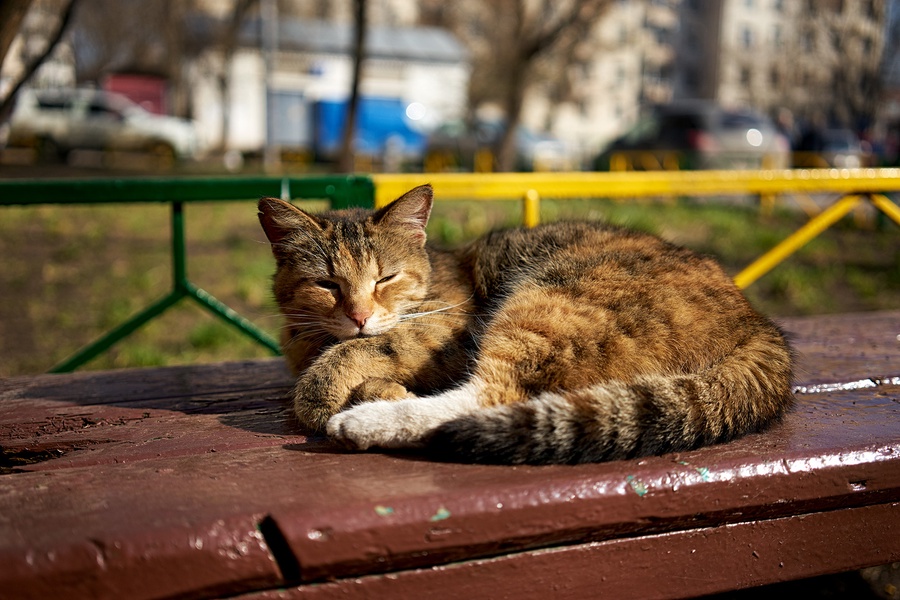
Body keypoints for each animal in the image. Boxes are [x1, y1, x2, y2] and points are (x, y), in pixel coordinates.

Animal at [256, 183, 792, 464]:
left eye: (385, 278)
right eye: (326, 284)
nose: (360, 315)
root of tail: (757, 323)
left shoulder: (445, 328)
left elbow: (363, 351)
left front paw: (325, 393)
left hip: (549, 302)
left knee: (490, 398)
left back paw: (365, 421)